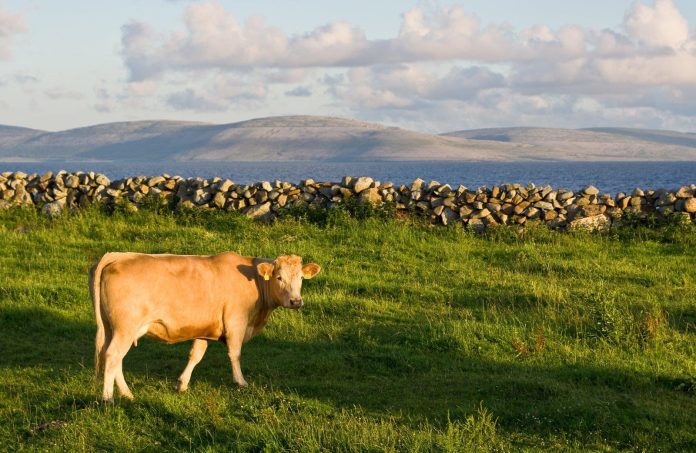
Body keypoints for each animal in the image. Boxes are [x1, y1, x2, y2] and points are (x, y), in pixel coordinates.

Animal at [89, 252, 321, 402]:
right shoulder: (236, 321)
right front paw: (240, 381)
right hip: (125, 328)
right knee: (113, 356)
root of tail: (118, 256)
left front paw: (182, 384)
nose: (296, 301)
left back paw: (126, 394)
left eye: (301, 277)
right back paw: (108, 398)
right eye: (279, 277)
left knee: (115, 358)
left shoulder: (205, 329)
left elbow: (196, 355)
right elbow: (235, 354)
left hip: (112, 328)